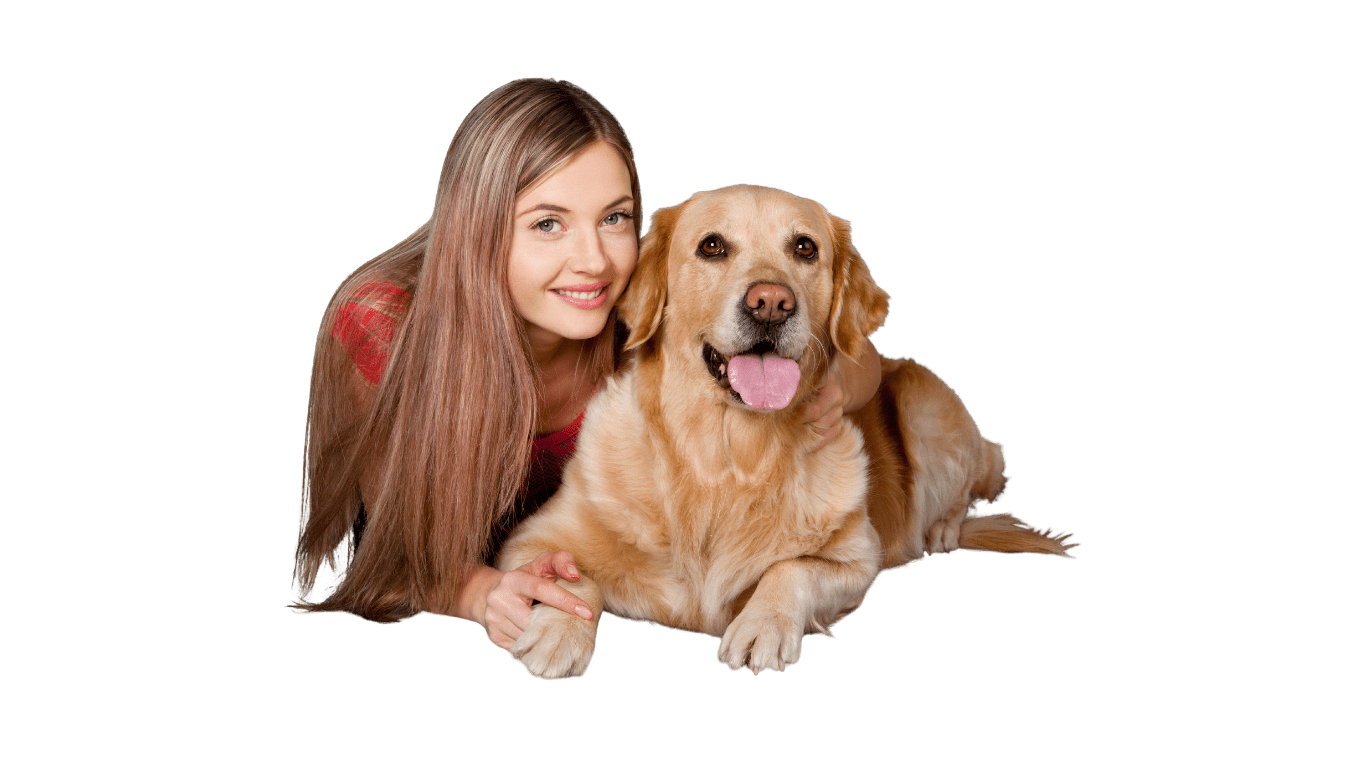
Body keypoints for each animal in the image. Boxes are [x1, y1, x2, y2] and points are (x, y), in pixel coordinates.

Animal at [497, 184, 1070, 675]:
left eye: (805, 248)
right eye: (711, 246)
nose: (771, 303)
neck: (727, 463)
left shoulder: (858, 559)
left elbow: (791, 568)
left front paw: (763, 625)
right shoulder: (530, 537)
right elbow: (567, 572)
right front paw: (558, 632)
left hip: (924, 403)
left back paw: (944, 528)